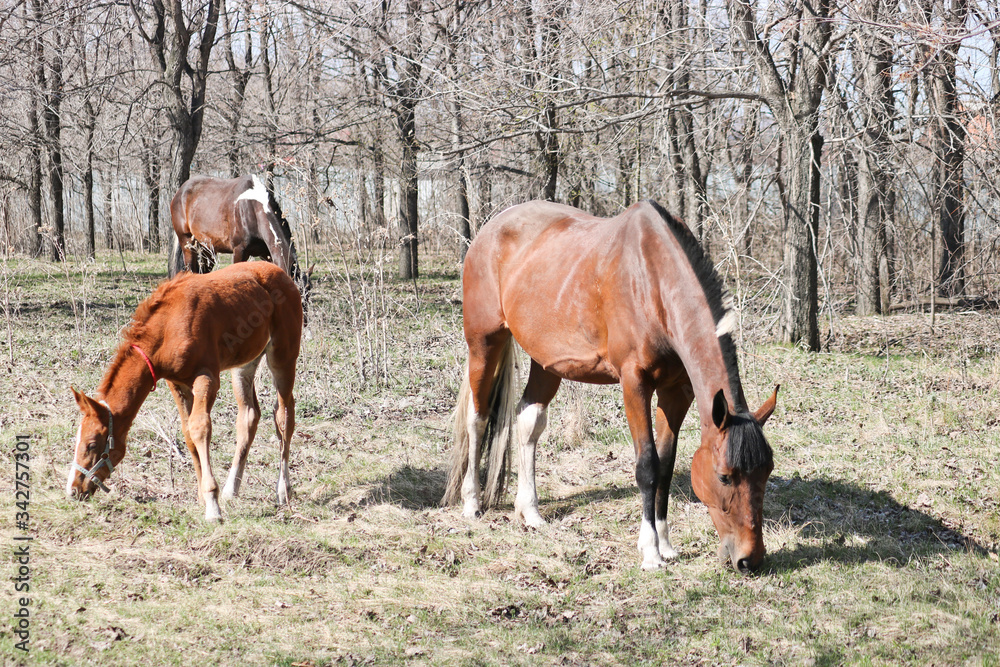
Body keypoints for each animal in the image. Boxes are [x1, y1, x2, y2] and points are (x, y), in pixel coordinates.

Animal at [67, 261, 302, 522]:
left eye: (92, 445)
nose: (74, 490)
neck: (168, 328)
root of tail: (281, 273)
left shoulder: (207, 378)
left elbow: (200, 428)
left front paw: (212, 506)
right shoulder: (177, 384)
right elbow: (189, 433)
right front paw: (203, 497)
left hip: (283, 356)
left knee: (284, 415)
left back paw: (283, 490)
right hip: (244, 364)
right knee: (249, 417)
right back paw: (232, 489)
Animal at [168, 174, 312, 308]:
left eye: (308, 294)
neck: (253, 208)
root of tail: (180, 192)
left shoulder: (267, 253)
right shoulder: (239, 251)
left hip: (207, 249)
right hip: (187, 243)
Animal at [442, 199, 779, 573]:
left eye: (766, 472)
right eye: (723, 477)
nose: (750, 559)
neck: (652, 281)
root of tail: (490, 227)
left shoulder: (676, 391)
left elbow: (665, 464)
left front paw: (666, 545)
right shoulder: (634, 383)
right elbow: (647, 466)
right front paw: (650, 552)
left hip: (547, 361)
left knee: (529, 421)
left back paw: (530, 511)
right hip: (484, 343)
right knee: (478, 418)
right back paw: (471, 503)